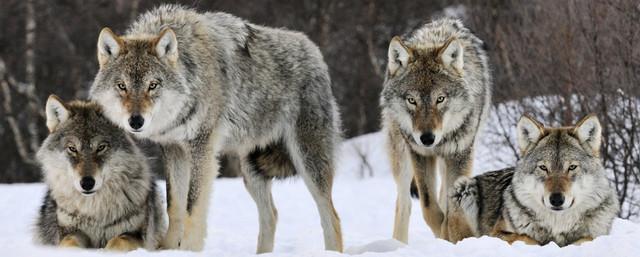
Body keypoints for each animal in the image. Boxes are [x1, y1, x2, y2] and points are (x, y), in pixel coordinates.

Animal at [34, 95, 166, 249]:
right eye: (72, 148)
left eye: (101, 147)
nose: (87, 183)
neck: (94, 211)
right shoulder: (69, 231)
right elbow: (69, 242)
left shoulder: (136, 235)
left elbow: (118, 241)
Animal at [89, 4, 342, 252]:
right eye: (122, 86)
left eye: (153, 85)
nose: (136, 121)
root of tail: (314, 50)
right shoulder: (173, 150)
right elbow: (175, 205)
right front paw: (168, 248)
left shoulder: (202, 148)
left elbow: (192, 206)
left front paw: (188, 249)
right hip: (251, 171)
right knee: (271, 215)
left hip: (308, 161)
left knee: (332, 216)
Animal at [382, 18, 492, 242]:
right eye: (412, 100)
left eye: (440, 99)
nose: (427, 138)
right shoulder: (420, 154)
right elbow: (429, 207)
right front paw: (442, 233)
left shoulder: (460, 155)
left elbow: (450, 207)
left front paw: (449, 235)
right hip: (402, 156)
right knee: (404, 203)